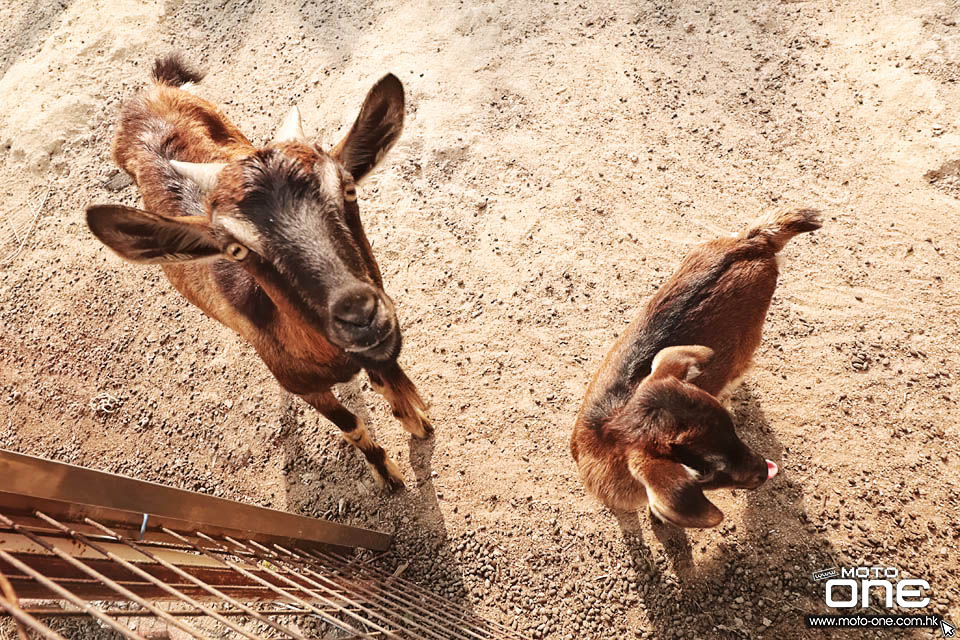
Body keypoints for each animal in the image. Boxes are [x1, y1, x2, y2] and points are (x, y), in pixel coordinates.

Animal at [86, 55, 432, 490]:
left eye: (348, 189)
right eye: (237, 249)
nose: (361, 315)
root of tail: (146, 93)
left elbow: (387, 375)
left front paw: (416, 416)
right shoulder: (301, 386)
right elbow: (351, 424)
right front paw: (388, 474)